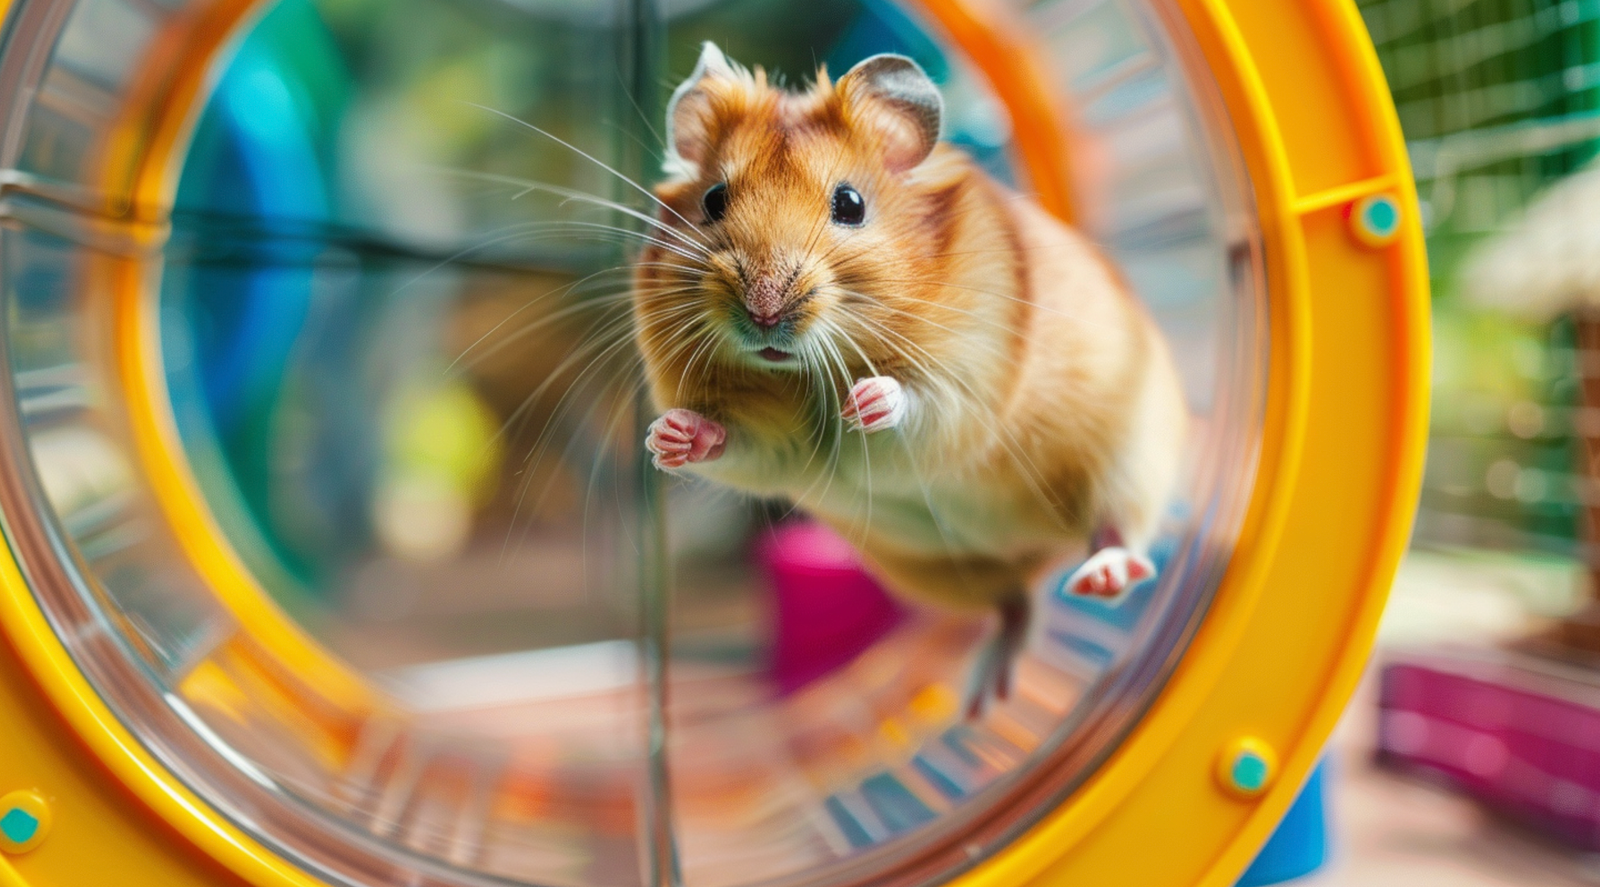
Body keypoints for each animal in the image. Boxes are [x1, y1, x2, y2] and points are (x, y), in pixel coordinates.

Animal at [633, 44, 1190, 710]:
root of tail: (1044, 549)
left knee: (1117, 529)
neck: (812, 369)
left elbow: (921, 404)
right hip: (934, 574)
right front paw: (668, 437)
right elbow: (740, 439)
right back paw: (982, 696)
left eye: (850, 204)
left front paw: (866, 402)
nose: (765, 312)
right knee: (1015, 605)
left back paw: (1101, 580)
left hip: (1134, 453)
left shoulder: (968, 386)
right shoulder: (775, 446)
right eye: (714, 199)